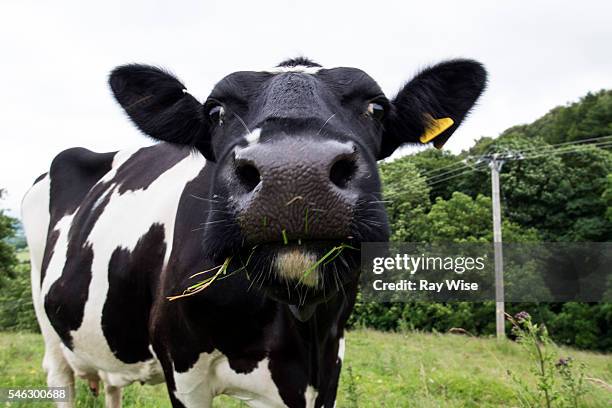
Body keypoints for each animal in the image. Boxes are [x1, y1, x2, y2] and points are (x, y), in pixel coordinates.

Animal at [21, 55, 486, 406]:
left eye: (376, 108)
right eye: (215, 112)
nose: (294, 173)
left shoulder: (329, 364)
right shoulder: (183, 367)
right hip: (49, 329)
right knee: (59, 377)